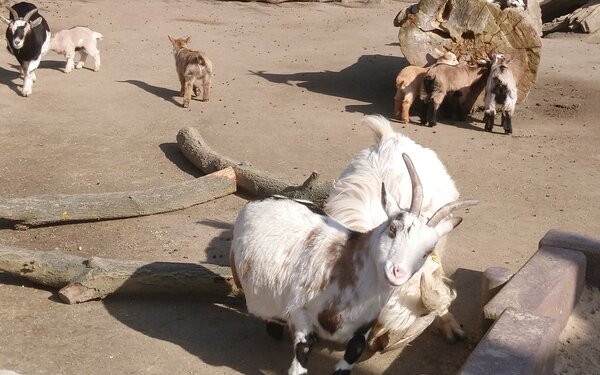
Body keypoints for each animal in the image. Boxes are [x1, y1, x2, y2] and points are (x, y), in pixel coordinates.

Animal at [230, 153, 478, 375]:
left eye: (427, 252)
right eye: (393, 228)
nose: (397, 272)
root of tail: (266, 198)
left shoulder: (365, 324)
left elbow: (352, 356)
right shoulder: (300, 314)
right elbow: (302, 358)